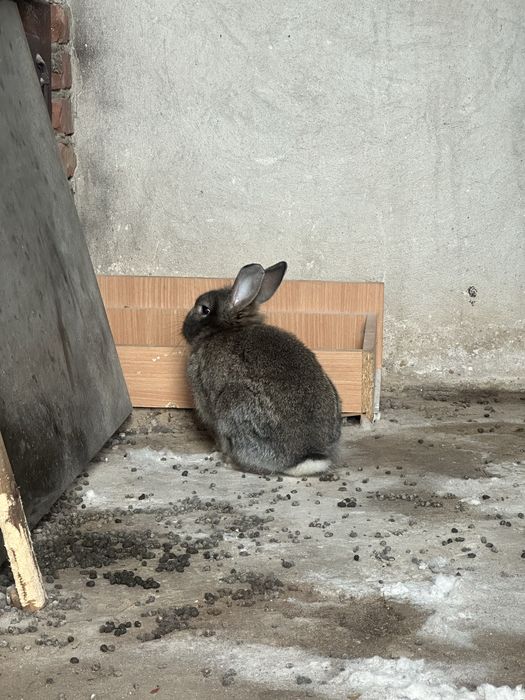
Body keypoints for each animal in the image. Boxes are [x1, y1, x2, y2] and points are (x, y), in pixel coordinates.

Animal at [182, 261, 341, 476]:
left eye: (204, 309)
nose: (184, 327)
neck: (227, 328)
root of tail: (306, 456)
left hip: (233, 406)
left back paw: (229, 462)